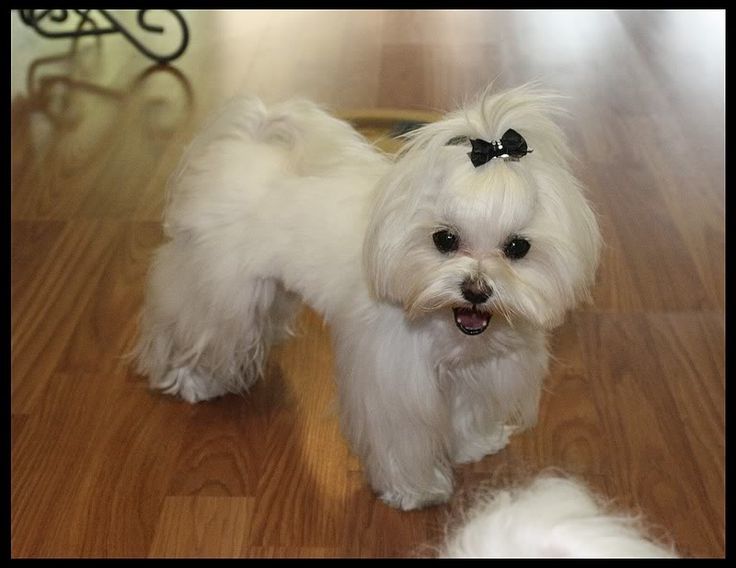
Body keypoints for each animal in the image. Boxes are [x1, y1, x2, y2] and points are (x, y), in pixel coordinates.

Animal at [135, 84, 600, 510]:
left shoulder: (475, 374)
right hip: (218, 291)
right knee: (194, 332)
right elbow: (402, 443)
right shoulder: (394, 387)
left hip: (266, 287)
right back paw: (192, 381)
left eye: (517, 247)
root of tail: (248, 143)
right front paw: (416, 491)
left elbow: (467, 414)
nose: (476, 289)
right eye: (444, 239)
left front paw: (472, 445)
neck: (444, 324)